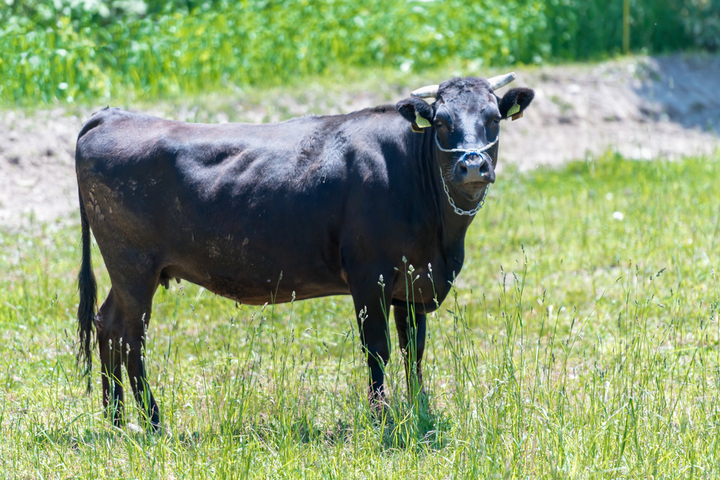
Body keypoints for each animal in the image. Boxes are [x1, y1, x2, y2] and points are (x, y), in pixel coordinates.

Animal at [76, 76, 532, 432]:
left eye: (493, 119)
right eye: (441, 122)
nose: (472, 166)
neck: (442, 239)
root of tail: (113, 115)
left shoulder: (415, 281)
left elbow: (413, 350)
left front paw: (419, 410)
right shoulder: (369, 276)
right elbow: (377, 348)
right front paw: (381, 417)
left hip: (132, 272)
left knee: (107, 324)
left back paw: (116, 419)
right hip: (134, 265)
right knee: (131, 336)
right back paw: (153, 422)